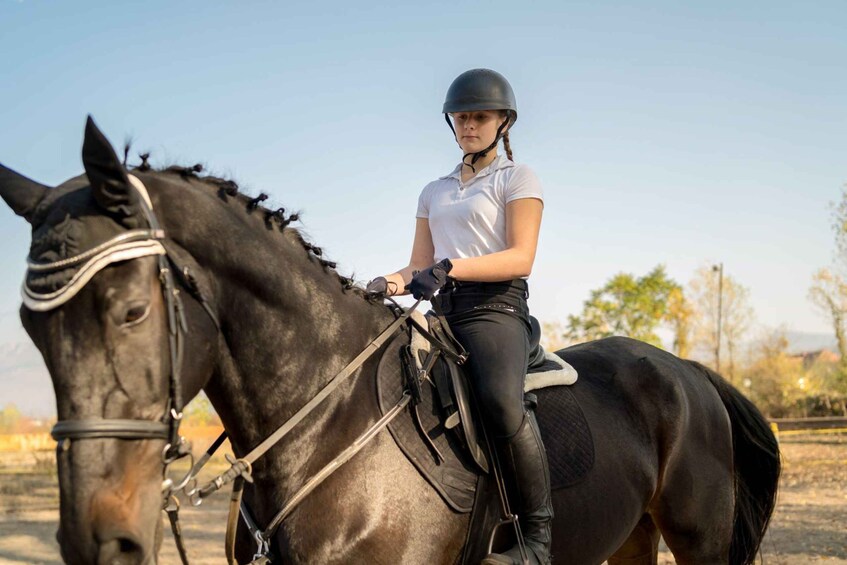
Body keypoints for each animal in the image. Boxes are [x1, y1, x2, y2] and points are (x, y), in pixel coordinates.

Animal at [1, 118, 780, 560]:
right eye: (31, 328)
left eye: (132, 311)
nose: (99, 540)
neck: (326, 429)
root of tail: (687, 370)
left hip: (698, 538)